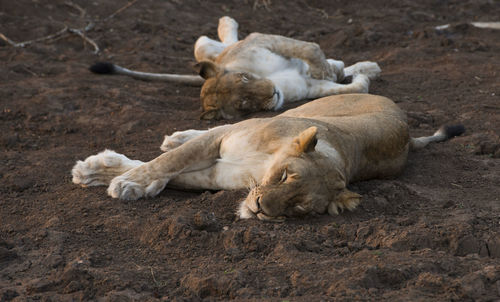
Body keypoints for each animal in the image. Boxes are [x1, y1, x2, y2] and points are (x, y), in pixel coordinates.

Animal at [71, 94, 464, 222]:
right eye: (286, 175)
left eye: (298, 207)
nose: (260, 210)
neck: (262, 167)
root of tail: (409, 136)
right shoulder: (220, 141)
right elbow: (165, 163)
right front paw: (115, 177)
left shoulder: (215, 176)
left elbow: (167, 172)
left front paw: (106, 173)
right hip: (300, 109)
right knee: (216, 126)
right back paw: (177, 137)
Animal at [91, 15, 378, 118]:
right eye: (244, 104)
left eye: (244, 78)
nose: (272, 93)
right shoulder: (308, 87)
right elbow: (353, 89)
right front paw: (355, 76)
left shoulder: (264, 40)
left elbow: (311, 48)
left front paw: (333, 68)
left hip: (218, 48)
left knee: (207, 43)